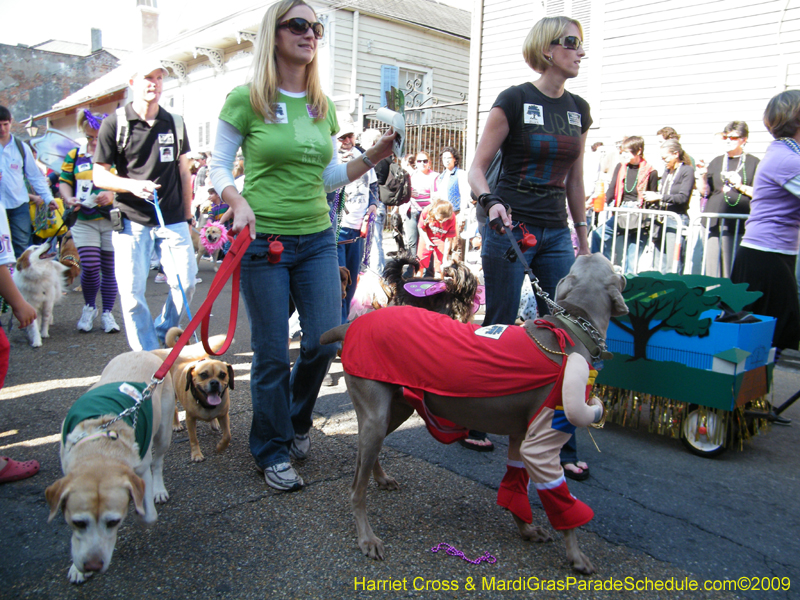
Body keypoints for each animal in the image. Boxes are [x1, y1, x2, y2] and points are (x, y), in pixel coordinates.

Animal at [322, 252, 628, 572]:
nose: (588, 250)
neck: (570, 328)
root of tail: (352, 325)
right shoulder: (542, 441)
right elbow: (562, 503)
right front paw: (577, 556)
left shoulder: (520, 436)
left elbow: (516, 484)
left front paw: (526, 528)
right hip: (376, 415)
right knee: (356, 488)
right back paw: (367, 538)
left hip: (396, 408)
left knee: (366, 455)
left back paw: (381, 478)